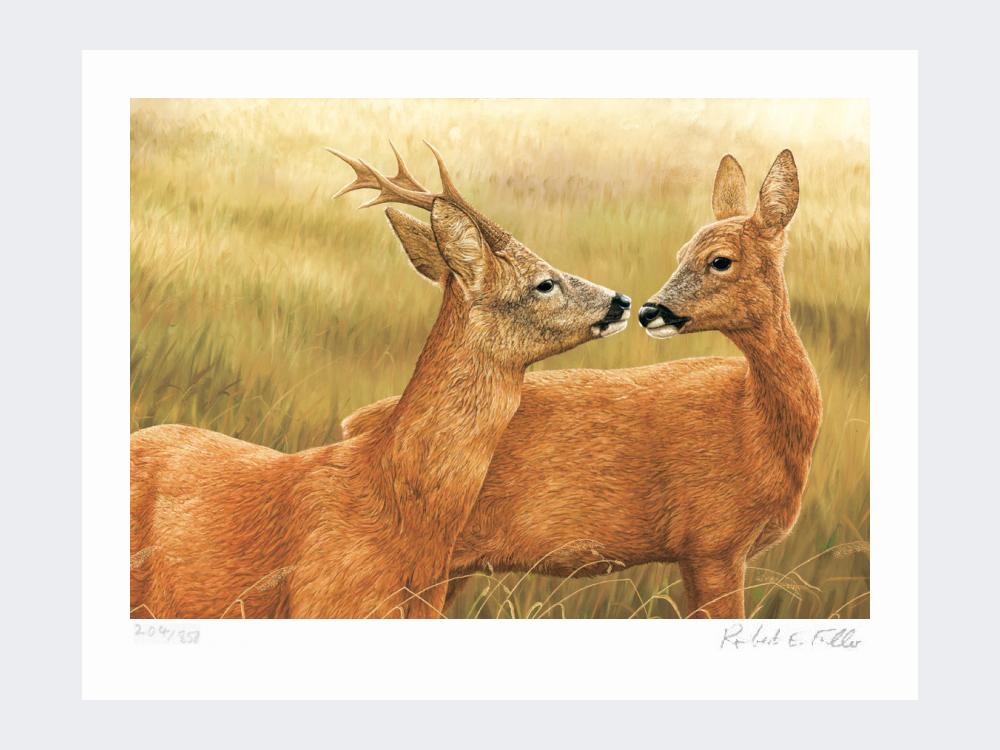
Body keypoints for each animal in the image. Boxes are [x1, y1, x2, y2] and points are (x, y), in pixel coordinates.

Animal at [342, 150, 822, 619]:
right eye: (682, 254)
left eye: (719, 260)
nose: (648, 310)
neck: (753, 417)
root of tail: (354, 427)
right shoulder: (711, 540)